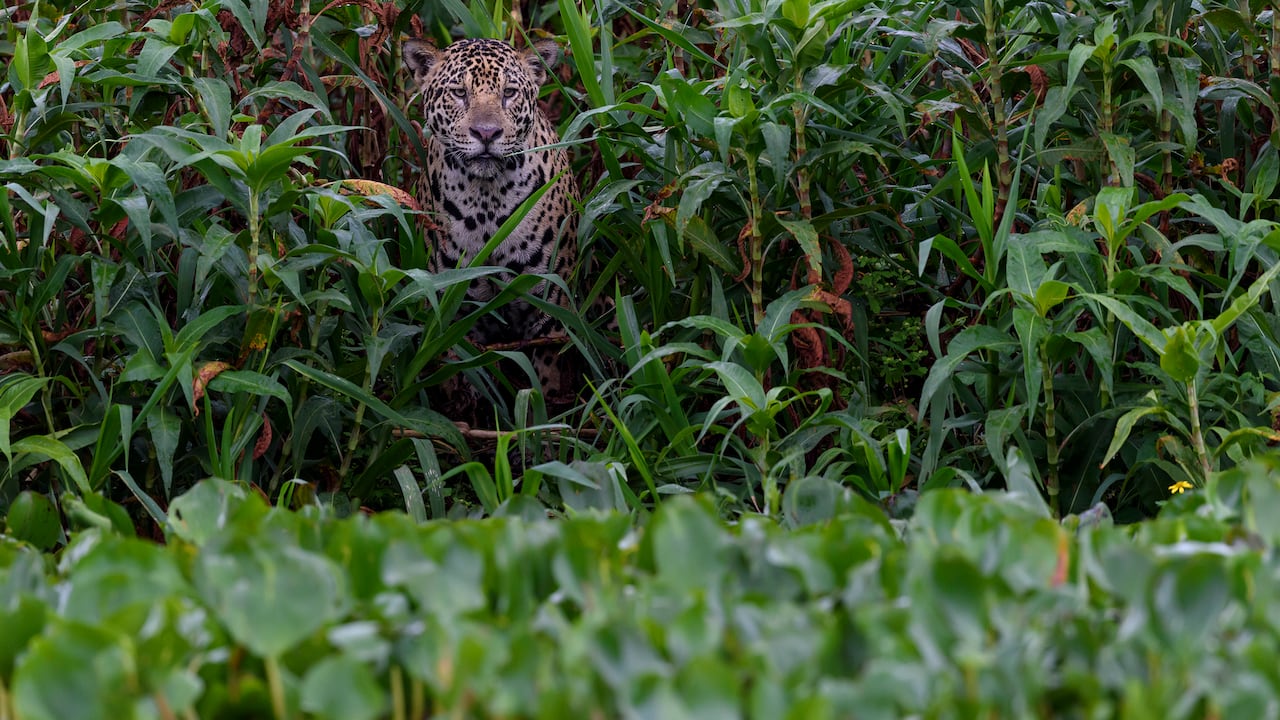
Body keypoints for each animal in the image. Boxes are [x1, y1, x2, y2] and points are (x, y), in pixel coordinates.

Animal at [402, 36, 580, 415]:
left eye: (509, 93)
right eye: (459, 93)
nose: (486, 133)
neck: (488, 206)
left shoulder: (550, 306)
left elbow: (545, 378)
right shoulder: (454, 309)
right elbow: (457, 372)